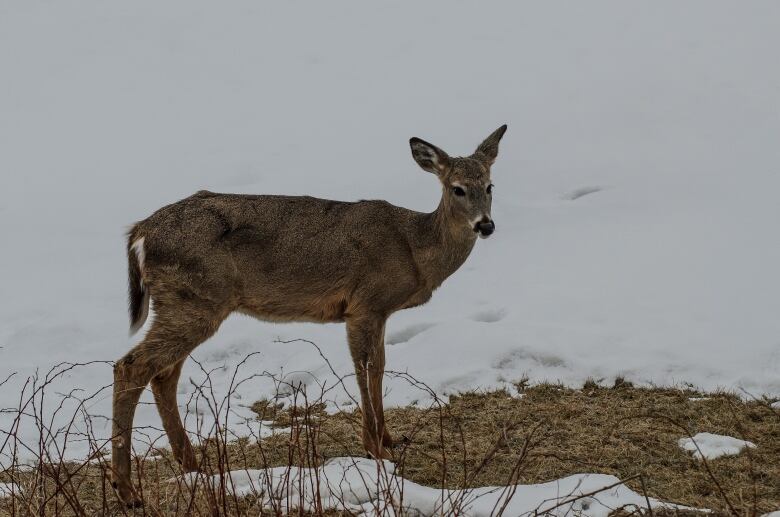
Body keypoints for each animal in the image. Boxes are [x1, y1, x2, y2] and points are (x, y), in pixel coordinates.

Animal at [111, 125, 507, 506]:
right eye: (457, 189)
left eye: (490, 186)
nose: (485, 225)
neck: (414, 249)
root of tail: (140, 231)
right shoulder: (365, 304)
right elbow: (365, 369)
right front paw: (375, 448)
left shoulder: (379, 312)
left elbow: (379, 367)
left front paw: (389, 439)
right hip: (196, 299)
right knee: (132, 367)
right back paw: (127, 491)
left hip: (185, 302)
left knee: (164, 375)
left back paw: (193, 467)